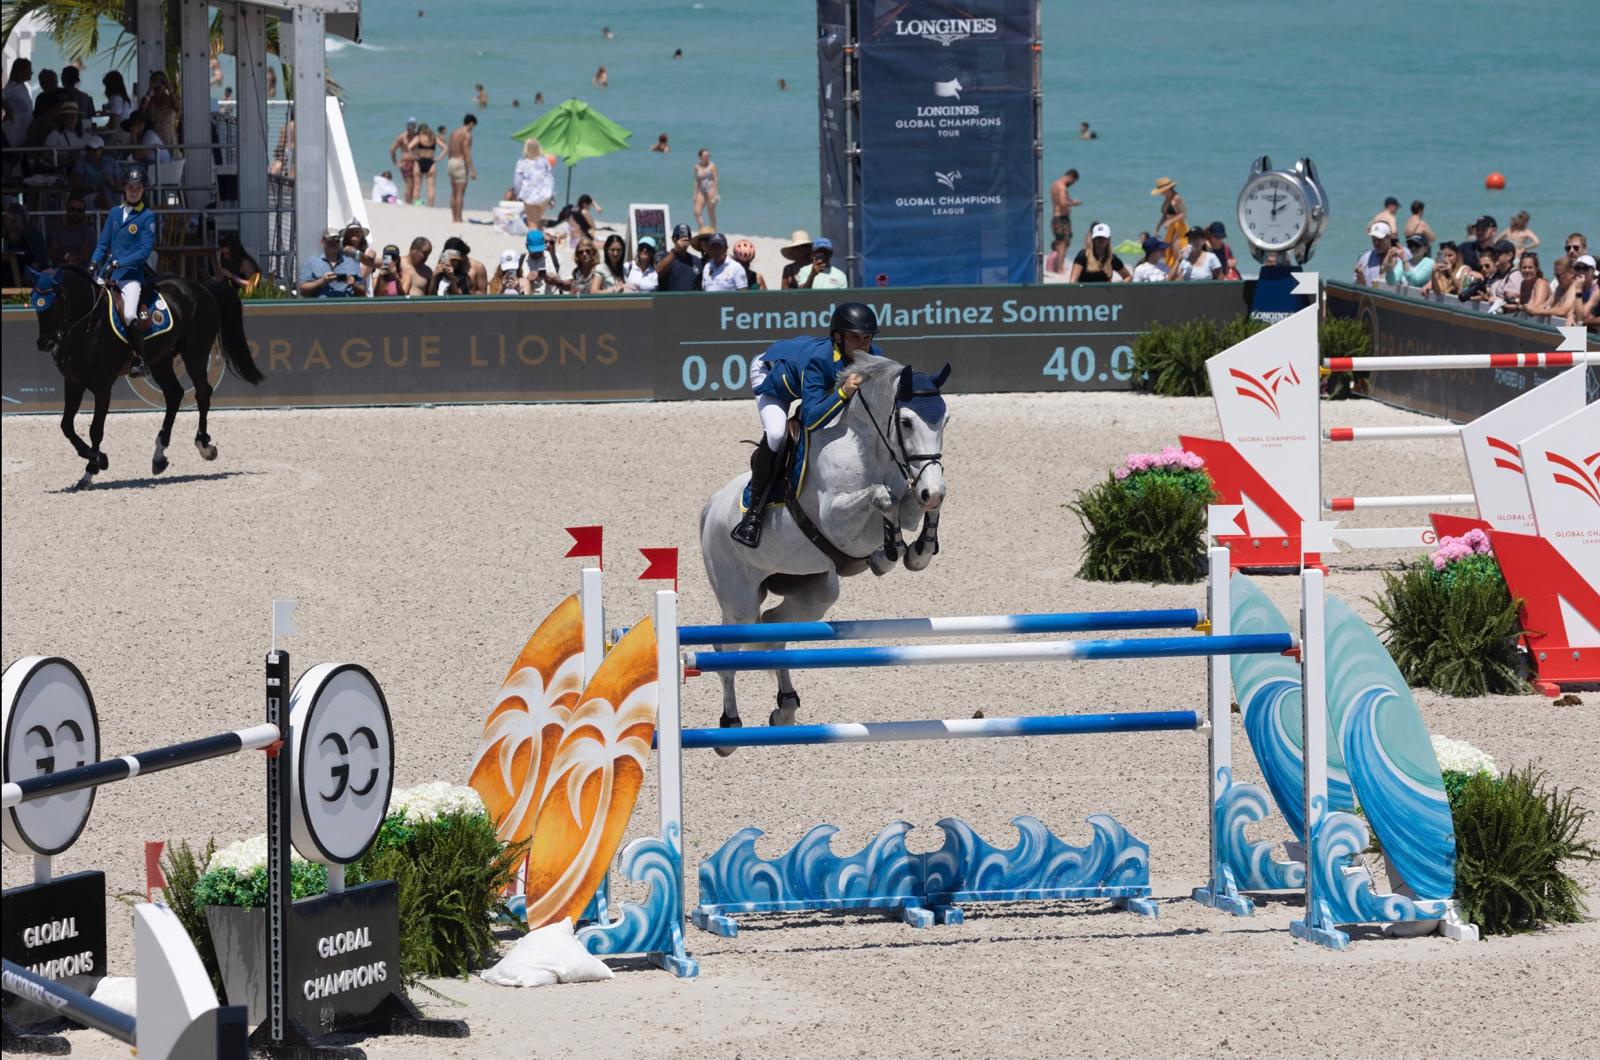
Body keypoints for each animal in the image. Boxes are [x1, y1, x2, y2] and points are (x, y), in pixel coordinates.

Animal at [700, 357, 947, 746]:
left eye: (945, 420)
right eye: (906, 421)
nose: (931, 489)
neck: (870, 448)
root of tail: (711, 506)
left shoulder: (911, 498)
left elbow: (908, 505)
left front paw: (916, 550)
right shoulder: (837, 520)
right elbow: (883, 497)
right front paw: (890, 551)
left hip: (815, 590)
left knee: (773, 628)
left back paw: (785, 709)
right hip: (738, 598)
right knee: (726, 650)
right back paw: (730, 725)